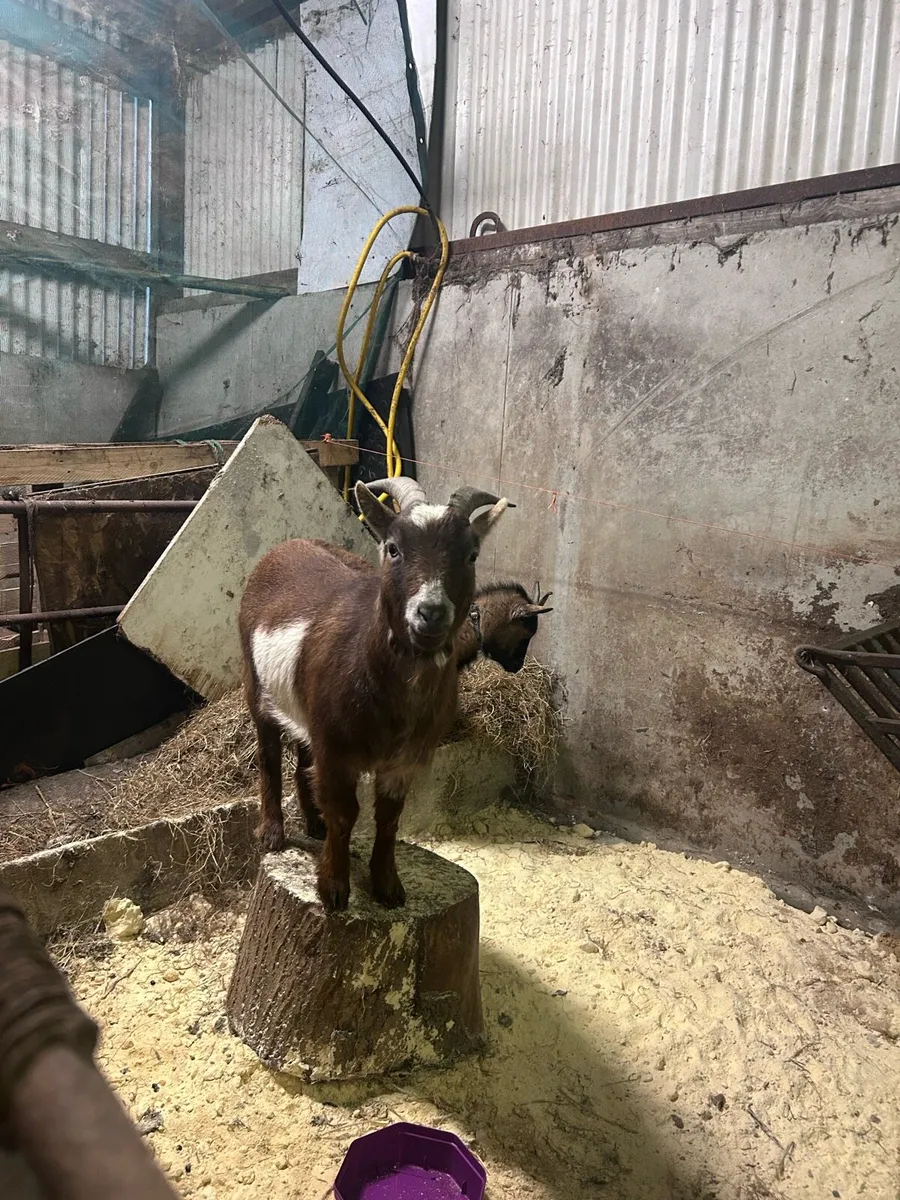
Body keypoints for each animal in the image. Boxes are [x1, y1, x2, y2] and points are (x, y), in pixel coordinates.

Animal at [238, 477, 510, 911]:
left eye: (471, 555)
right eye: (394, 548)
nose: (430, 613)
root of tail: (288, 544)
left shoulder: (404, 759)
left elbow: (389, 818)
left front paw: (388, 886)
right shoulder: (337, 750)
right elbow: (345, 813)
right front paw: (333, 887)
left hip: (306, 709)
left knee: (302, 757)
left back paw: (312, 824)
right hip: (255, 681)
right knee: (268, 757)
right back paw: (272, 834)